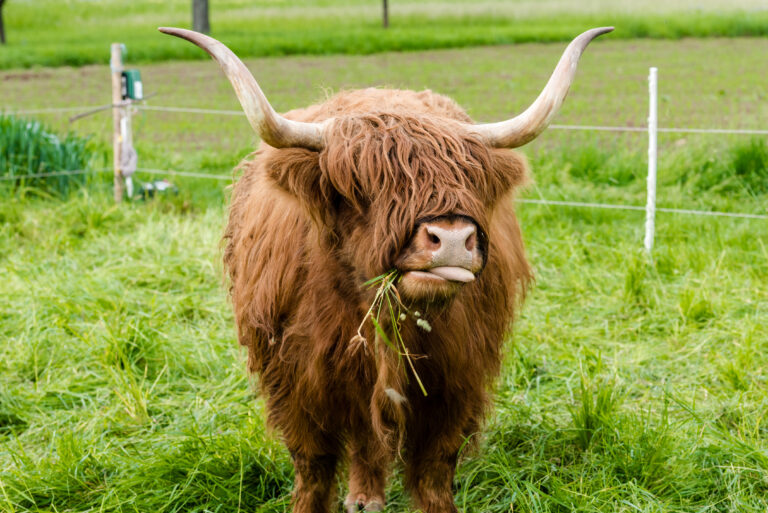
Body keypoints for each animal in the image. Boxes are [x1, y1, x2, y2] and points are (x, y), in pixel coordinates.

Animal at [160, 26, 612, 512]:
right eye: (362, 185)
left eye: (469, 178)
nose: (453, 238)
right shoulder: (296, 383)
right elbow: (313, 468)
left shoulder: (455, 384)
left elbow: (434, 472)